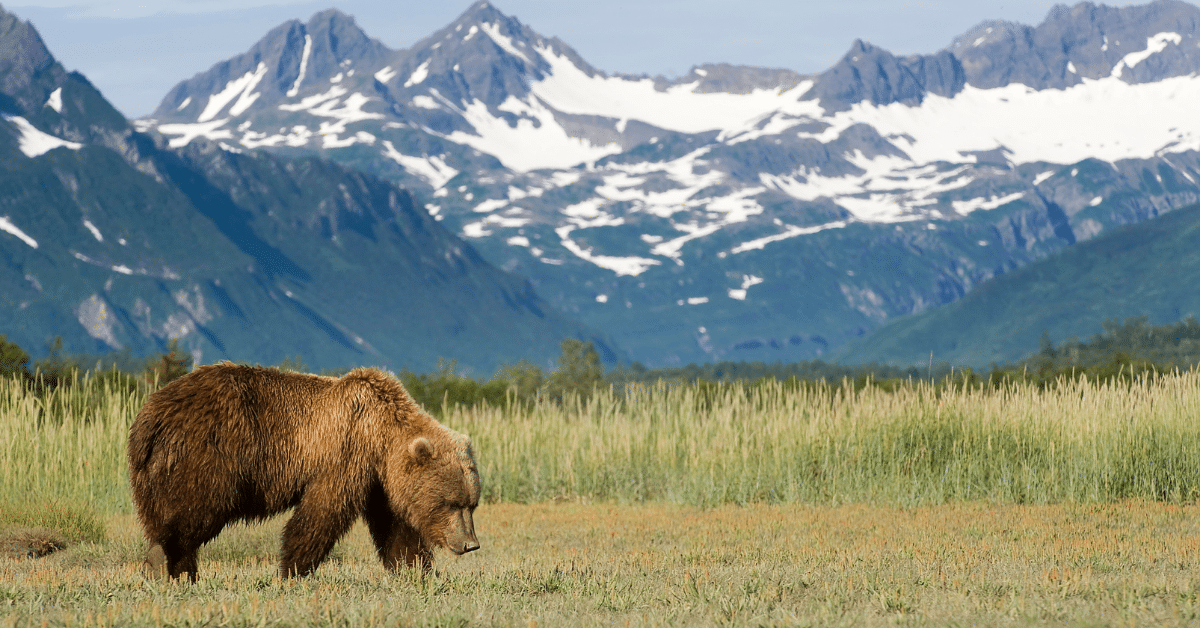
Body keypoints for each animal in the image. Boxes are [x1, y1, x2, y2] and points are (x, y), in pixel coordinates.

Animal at [123, 360, 477, 583]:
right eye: (451, 503)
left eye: (471, 504)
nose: (470, 544)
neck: (381, 435)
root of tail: (149, 415)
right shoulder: (344, 453)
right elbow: (320, 514)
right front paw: (292, 570)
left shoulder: (381, 483)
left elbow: (395, 527)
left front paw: (415, 569)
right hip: (208, 455)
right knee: (193, 511)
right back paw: (168, 565)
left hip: (153, 470)